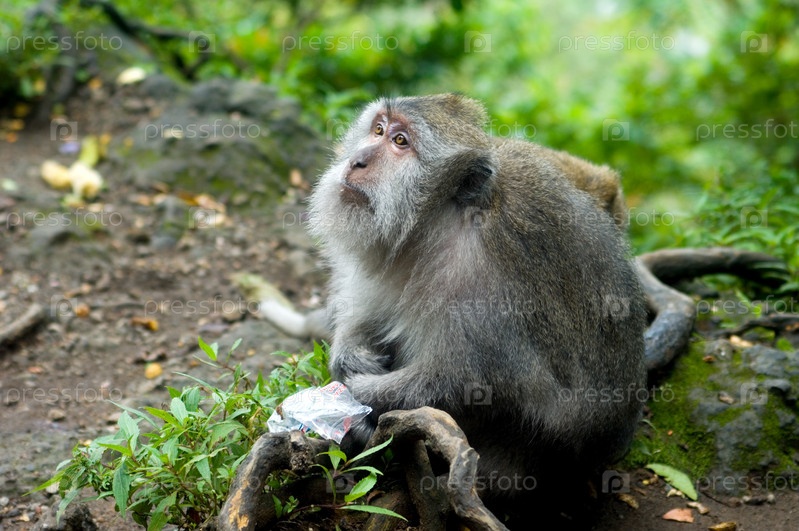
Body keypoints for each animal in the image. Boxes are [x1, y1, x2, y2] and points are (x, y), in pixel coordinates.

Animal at [264, 93, 646, 504]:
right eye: (378, 130)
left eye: (401, 142)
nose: (357, 161)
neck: (438, 222)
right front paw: (348, 356)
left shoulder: (481, 276)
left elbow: (468, 381)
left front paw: (358, 392)